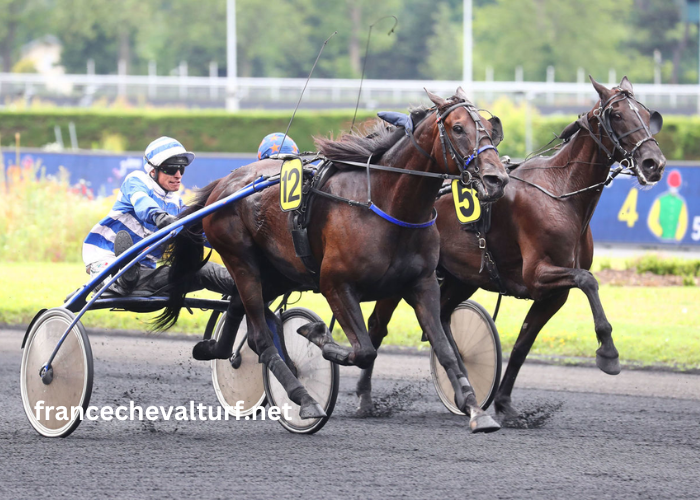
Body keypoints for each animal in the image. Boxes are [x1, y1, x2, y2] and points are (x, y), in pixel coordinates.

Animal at [157, 88, 508, 432]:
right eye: (458, 128)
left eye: (490, 129)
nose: (497, 179)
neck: (386, 205)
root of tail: (223, 184)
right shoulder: (335, 283)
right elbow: (364, 350)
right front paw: (316, 335)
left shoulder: (422, 284)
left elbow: (445, 349)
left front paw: (476, 409)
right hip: (241, 260)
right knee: (260, 337)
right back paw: (304, 399)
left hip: (278, 271)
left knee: (238, 308)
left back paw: (215, 349)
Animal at [360, 77, 668, 422]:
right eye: (616, 114)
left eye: (647, 114)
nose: (654, 163)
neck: (560, 192)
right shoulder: (537, 274)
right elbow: (588, 281)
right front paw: (608, 353)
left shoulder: (553, 294)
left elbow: (523, 343)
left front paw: (505, 404)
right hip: (404, 275)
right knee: (378, 325)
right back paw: (365, 398)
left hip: (461, 277)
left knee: (442, 316)